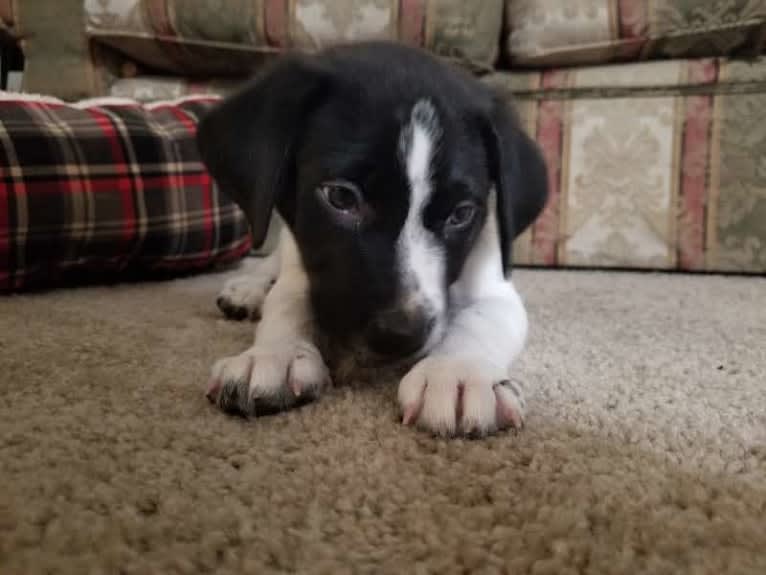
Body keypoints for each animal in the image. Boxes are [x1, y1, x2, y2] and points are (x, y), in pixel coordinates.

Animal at [196, 41, 544, 436]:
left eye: (461, 214)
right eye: (341, 197)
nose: (401, 335)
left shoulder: (494, 282)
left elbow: (482, 318)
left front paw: (457, 372)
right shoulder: (305, 269)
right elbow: (286, 303)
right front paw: (275, 354)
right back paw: (247, 288)